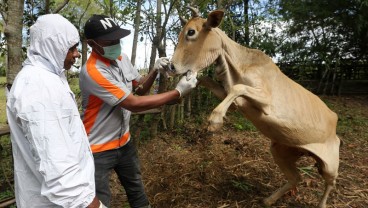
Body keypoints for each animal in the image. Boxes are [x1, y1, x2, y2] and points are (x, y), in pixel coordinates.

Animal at [171, 8, 340, 207]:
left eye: (191, 32)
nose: (172, 66)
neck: (237, 66)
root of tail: (334, 117)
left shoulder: (266, 99)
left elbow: (238, 88)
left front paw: (214, 121)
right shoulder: (232, 99)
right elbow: (206, 80)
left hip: (330, 163)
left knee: (331, 183)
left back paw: (321, 203)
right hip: (281, 149)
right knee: (296, 177)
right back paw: (268, 199)